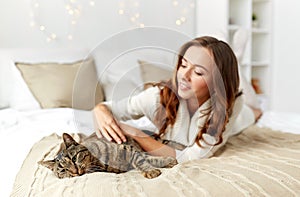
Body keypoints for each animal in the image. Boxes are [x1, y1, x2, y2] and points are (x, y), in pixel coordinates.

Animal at [37, 132, 178, 179]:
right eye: (63, 170)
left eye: (74, 158)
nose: (75, 172)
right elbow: (144, 159)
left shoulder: (128, 148)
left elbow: (143, 160)